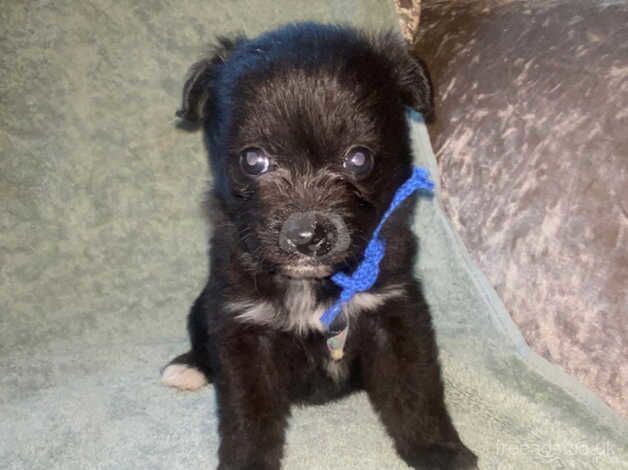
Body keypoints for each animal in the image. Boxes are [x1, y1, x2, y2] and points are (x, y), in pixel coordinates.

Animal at [162, 23, 476, 470]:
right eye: (254, 160)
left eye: (358, 158)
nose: (306, 235)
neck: (312, 285)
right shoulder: (242, 328)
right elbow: (247, 416)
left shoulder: (394, 310)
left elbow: (416, 391)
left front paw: (440, 451)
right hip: (201, 307)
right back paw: (188, 367)